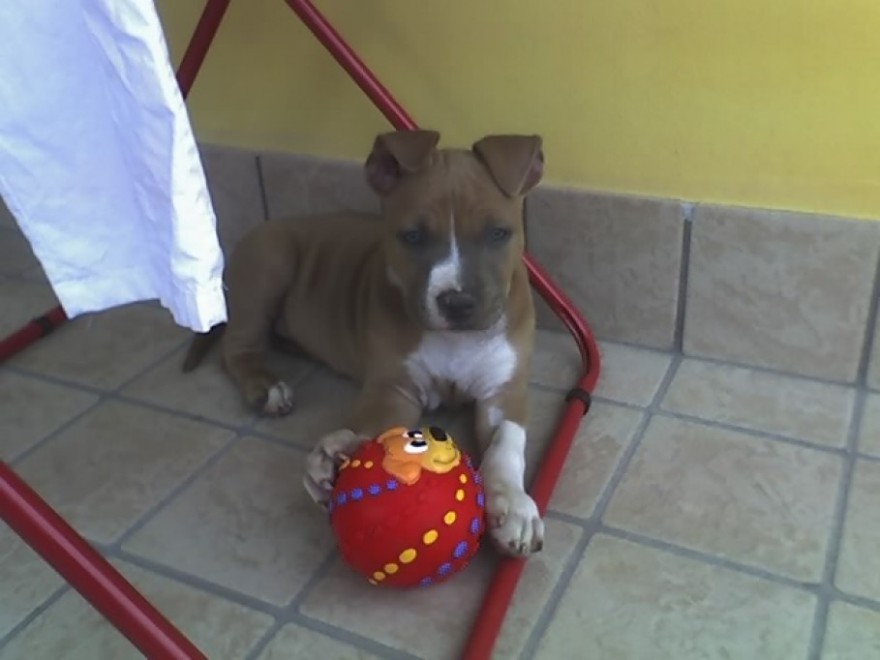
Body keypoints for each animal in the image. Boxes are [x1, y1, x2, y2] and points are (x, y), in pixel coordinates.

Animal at [183, 129, 545, 556]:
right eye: (413, 236)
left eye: (497, 233)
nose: (457, 302)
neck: (454, 341)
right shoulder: (393, 389)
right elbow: (373, 423)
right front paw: (341, 453)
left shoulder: (504, 394)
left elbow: (506, 444)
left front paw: (514, 506)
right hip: (269, 262)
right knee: (237, 346)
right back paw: (266, 387)